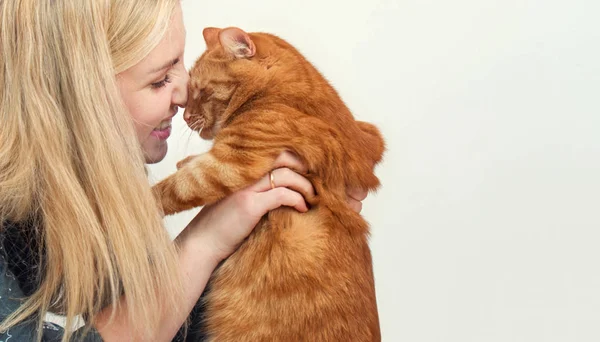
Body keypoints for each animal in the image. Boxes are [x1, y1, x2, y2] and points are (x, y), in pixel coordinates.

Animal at [155, 27, 386, 342]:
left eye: (201, 91)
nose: (186, 116)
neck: (277, 94)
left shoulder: (232, 160)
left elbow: (173, 188)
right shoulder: (371, 134)